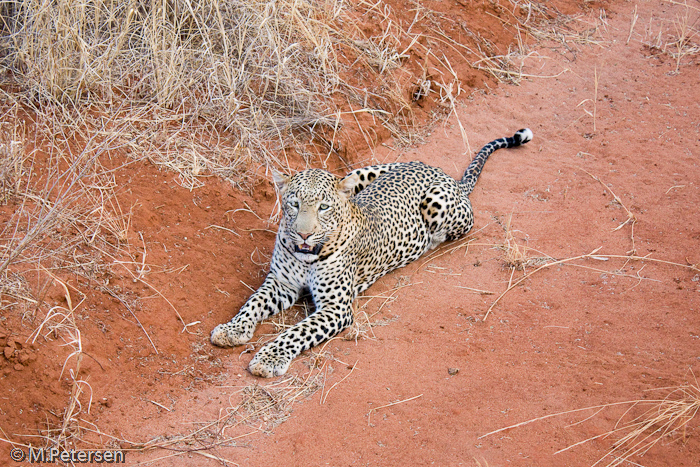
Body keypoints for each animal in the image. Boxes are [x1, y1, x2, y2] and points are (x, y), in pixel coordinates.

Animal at [211, 130, 532, 378]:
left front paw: (269, 358)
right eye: (293, 204)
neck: (308, 256)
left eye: (323, 207)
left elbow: (296, 332)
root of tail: (445, 175)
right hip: (359, 172)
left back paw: (430, 242)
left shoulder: (336, 308)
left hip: (437, 202)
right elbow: (252, 303)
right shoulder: (281, 283)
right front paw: (232, 329)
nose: (303, 234)